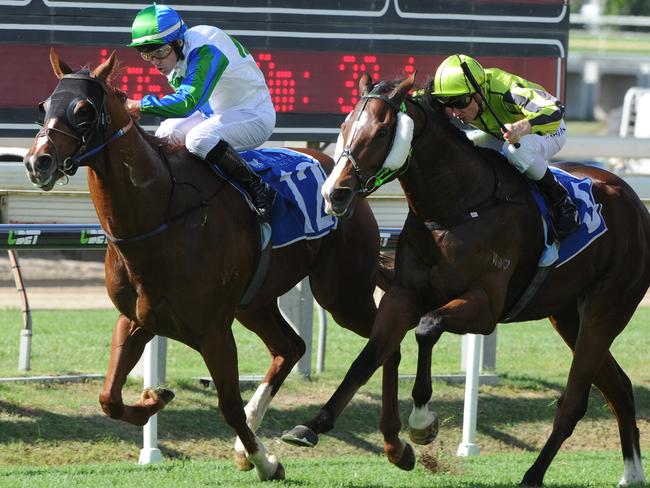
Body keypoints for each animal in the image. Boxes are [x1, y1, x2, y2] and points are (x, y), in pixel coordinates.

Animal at [22, 49, 392, 480]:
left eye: (83, 110)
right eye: (44, 106)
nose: (37, 161)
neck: (163, 214)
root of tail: (343, 177)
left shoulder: (213, 330)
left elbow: (228, 406)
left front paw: (265, 461)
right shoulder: (136, 319)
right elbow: (108, 397)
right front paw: (155, 397)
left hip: (342, 293)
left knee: (387, 336)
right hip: (255, 303)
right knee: (291, 347)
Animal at [282, 73, 648, 488]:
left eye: (382, 131)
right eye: (344, 127)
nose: (334, 194)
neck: (458, 207)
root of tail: (633, 201)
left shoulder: (485, 307)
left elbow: (427, 327)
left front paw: (422, 421)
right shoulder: (402, 296)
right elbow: (368, 358)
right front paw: (312, 426)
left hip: (607, 308)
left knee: (575, 401)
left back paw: (533, 474)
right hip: (568, 315)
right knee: (619, 387)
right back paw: (632, 473)